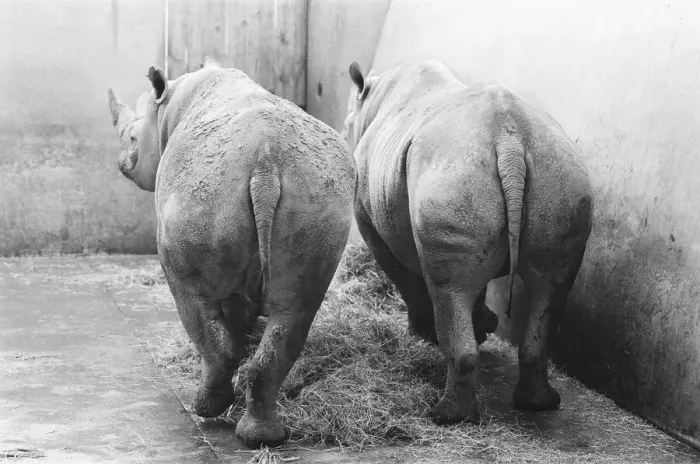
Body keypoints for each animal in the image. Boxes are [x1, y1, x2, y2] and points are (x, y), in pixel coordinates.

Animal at [107, 58, 356, 448]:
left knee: (191, 297)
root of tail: (265, 165)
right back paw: (263, 437)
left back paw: (206, 408)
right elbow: (241, 318)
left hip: (202, 193)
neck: (167, 104)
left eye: (132, 138)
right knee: (296, 310)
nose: (123, 164)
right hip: (316, 196)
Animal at [342, 60, 593, 424]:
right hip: (560, 176)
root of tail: (509, 137)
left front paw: (419, 334)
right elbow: (477, 283)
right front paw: (484, 325)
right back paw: (540, 403)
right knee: (548, 286)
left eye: (346, 127)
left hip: (453, 173)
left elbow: (406, 280)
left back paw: (446, 415)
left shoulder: (370, 225)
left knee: (449, 289)